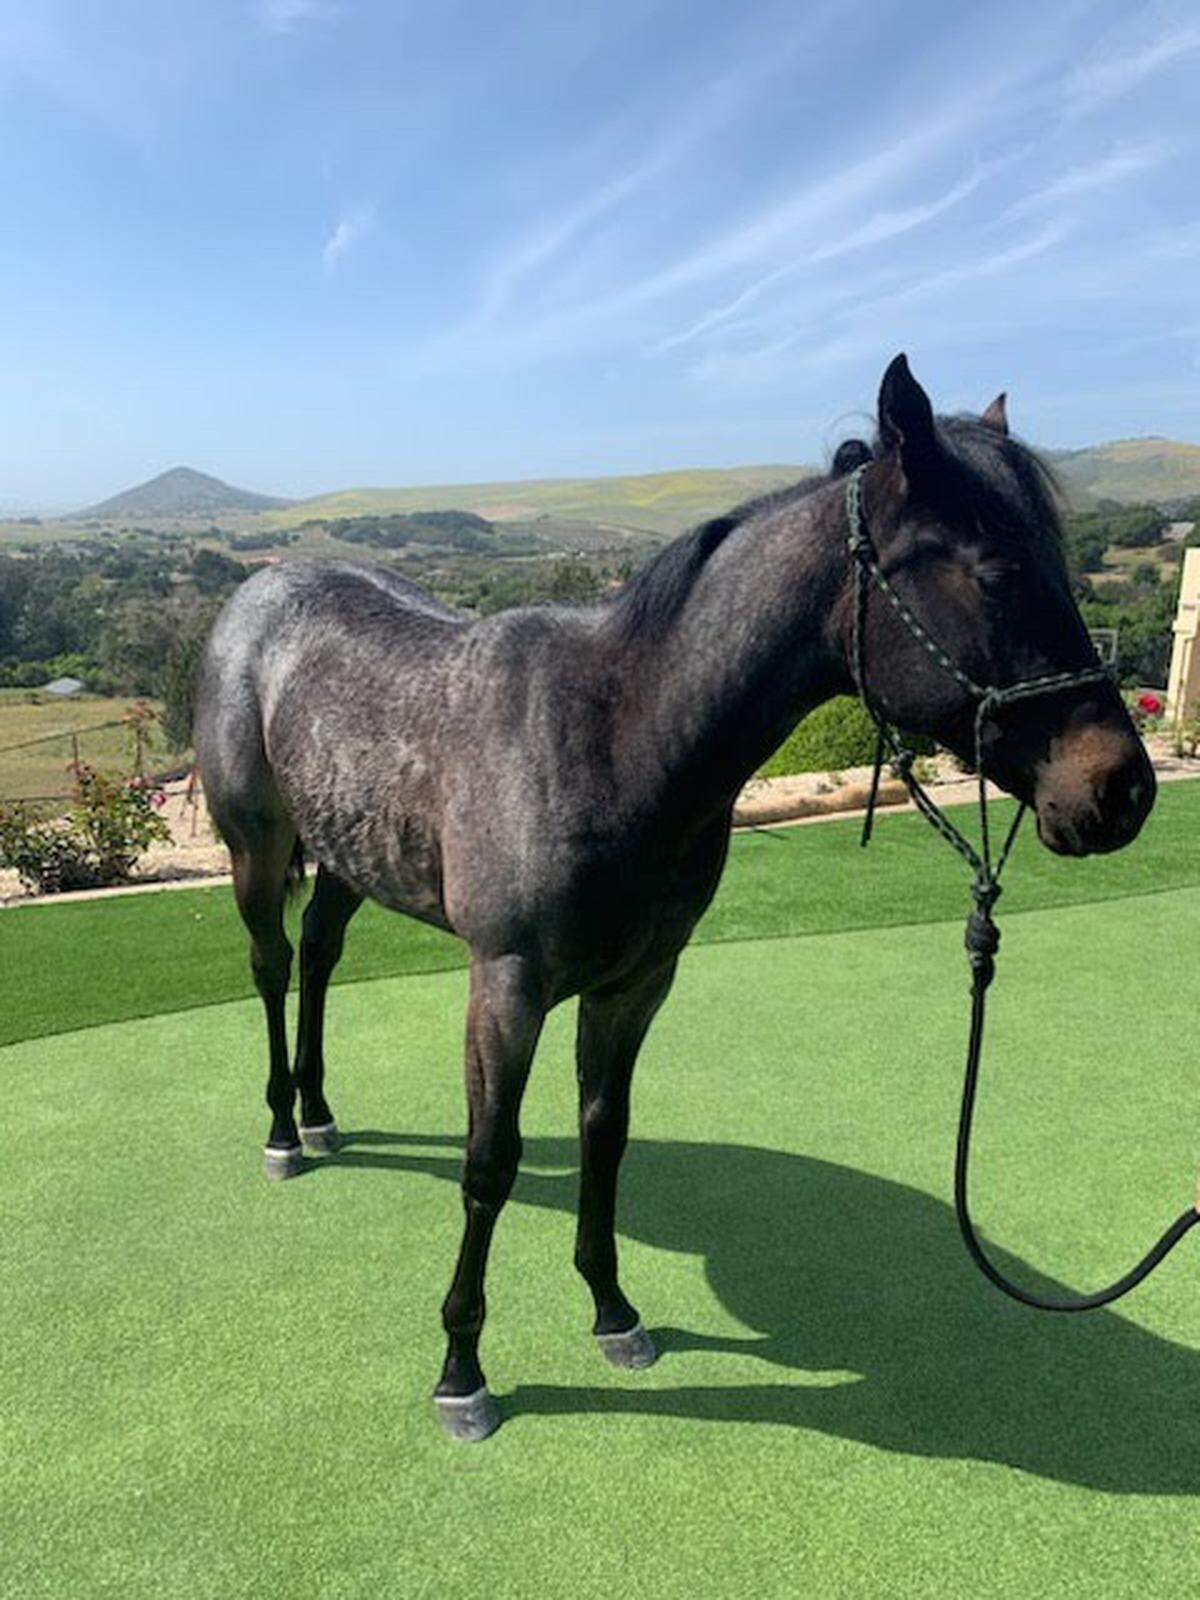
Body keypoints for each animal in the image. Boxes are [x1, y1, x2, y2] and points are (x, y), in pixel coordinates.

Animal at [193, 354, 1155, 1441]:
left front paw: (613, 1310)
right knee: (274, 966)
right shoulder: (507, 986)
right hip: (259, 848)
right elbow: (490, 1162)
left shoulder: (638, 982)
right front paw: (462, 1370)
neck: (620, 735)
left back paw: (319, 1112)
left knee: (319, 954)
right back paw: (284, 1132)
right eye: (994, 572)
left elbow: (604, 1137)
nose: (1119, 789)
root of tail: (261, 587)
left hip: (349, 856)